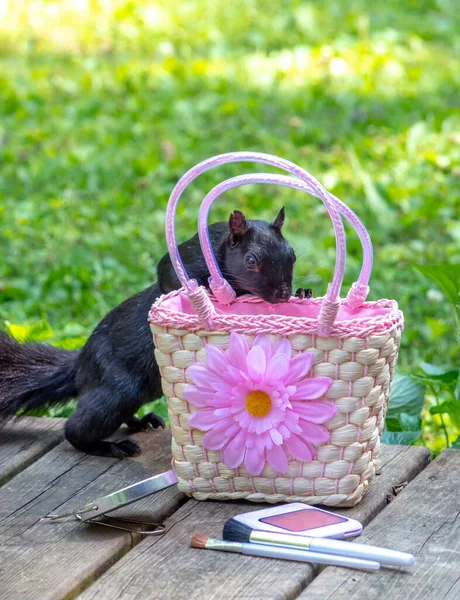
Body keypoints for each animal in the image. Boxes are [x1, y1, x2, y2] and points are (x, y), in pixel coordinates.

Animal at [0, 209, 296, 458]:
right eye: (251, 261)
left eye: (292, 255)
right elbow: (172, 277)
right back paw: (109, 447)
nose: (283, 294)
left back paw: (141, 421)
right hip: (119, 389)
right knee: (75, 429)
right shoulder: (189, 258)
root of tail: (81, 363)